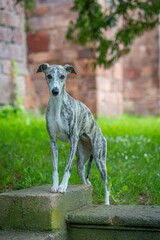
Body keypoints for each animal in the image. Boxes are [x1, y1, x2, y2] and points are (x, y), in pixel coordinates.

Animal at [36, 63, 109, 204]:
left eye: (62, 76)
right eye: (49, 76)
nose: (55, 91)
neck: (58, 106)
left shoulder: (73, 140)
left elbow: (67, 168)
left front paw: (63, 187)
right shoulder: (53, 141)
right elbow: (55, 168)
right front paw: (55, 186)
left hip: (100, 159)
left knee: (107, 184)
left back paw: (107, 203)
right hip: (81, 162)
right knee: (86, 180)